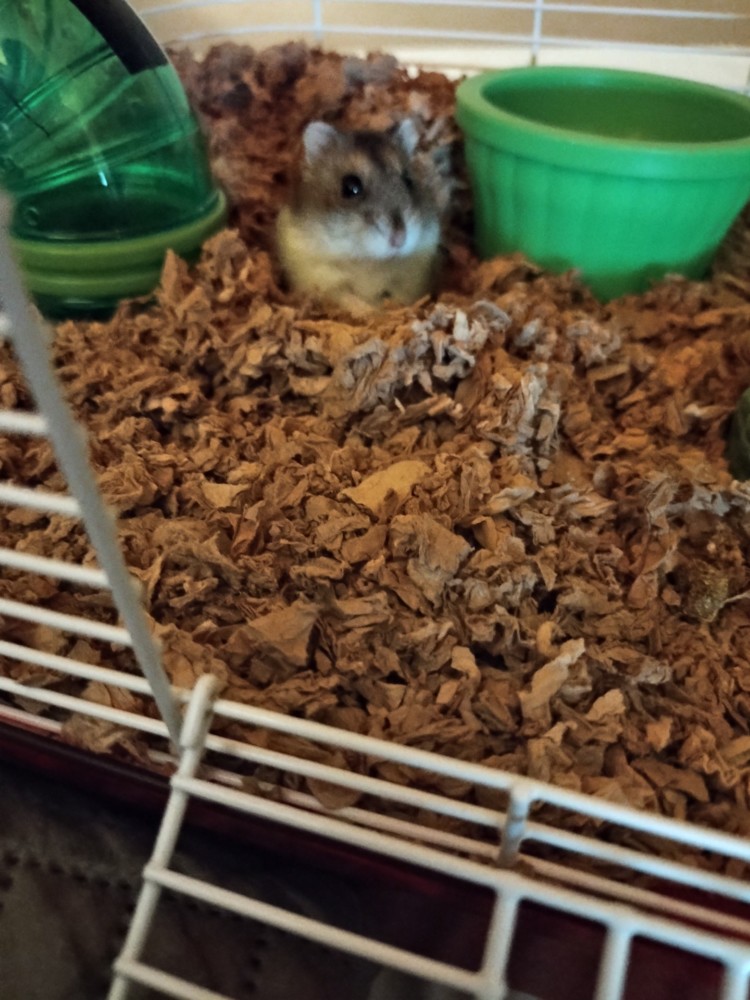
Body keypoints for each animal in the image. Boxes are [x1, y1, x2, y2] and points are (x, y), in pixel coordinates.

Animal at [276, 119, 443, 312]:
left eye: (408, 180)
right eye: (350, 187)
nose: (399, 239)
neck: (368, 261)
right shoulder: (322, 279)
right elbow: (347, 298)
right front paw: (370, 311)